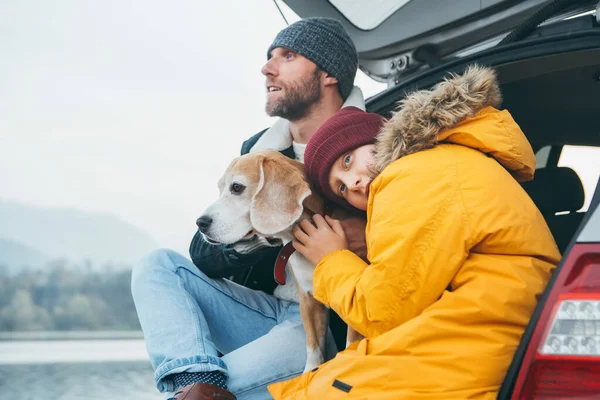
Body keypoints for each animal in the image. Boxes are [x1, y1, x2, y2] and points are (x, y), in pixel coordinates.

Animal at [197, 149, 360, 372]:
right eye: (220, 188)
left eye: (237, 187)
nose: (200, 223)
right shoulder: (309, 300)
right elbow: (313, 351)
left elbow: (352, 346)